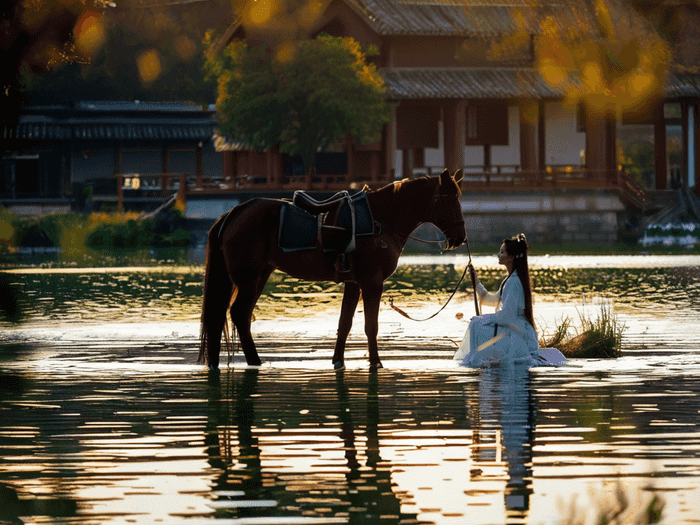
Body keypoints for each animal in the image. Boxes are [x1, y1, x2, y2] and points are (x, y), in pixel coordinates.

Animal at [197, 168, 464, 368]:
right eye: (450, 199)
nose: (460, 236)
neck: (381, 221)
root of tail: (236, 211)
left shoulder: (354, 283)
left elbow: (345, 324)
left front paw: (338, 360)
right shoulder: (372, 282)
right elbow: (371, 326)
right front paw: (375, 362)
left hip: (259, 274)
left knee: (232, 316)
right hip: (249, 277)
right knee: (238, 314)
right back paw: (253, 360)